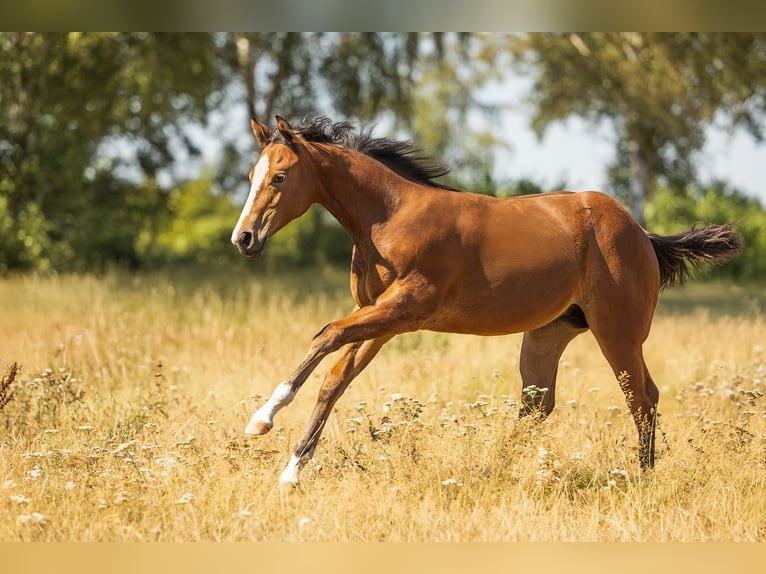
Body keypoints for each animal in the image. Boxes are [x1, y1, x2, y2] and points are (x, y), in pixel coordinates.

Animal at [231, 115, 742, 486]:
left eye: (280, 177)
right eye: (252, 174)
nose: (244, 238)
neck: (388, 216)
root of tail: (643, 234)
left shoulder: (403, 308)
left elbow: (326, 336)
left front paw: (262, 418)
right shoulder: (381, 318)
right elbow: (334, 380)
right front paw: (291, 471)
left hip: (618, 333)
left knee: (642, 398)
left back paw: (641, 479)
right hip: (548, 335)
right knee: (538, 406)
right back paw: (492, 469)